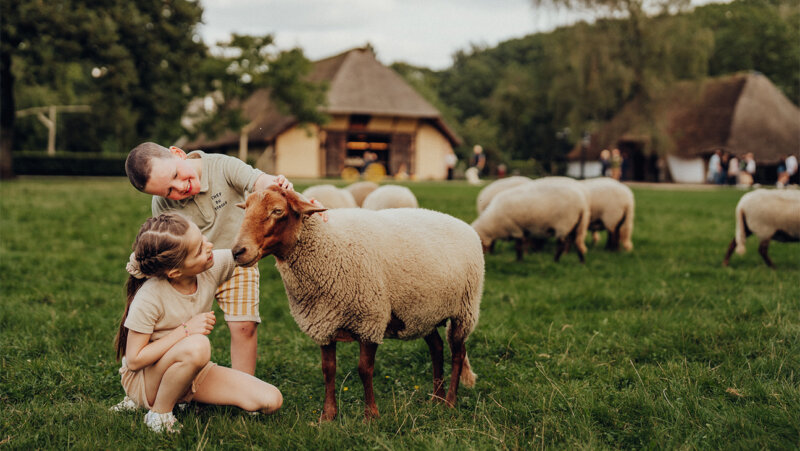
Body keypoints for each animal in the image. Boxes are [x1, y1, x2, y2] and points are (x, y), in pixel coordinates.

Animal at [231, 185, 482, 422]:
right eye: (246, 209)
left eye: (277, 211)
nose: (237, 251)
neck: (327, 247)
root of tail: (463, 224)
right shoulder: (323, 323)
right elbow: (328, 370)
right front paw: (328, 416)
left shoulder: (370, 321)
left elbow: (364, 370)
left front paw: (371, 415)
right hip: (423, 313)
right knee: (437, 348)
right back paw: (435, 399)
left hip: (464, 310)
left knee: (457, 353)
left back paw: (449, 401)